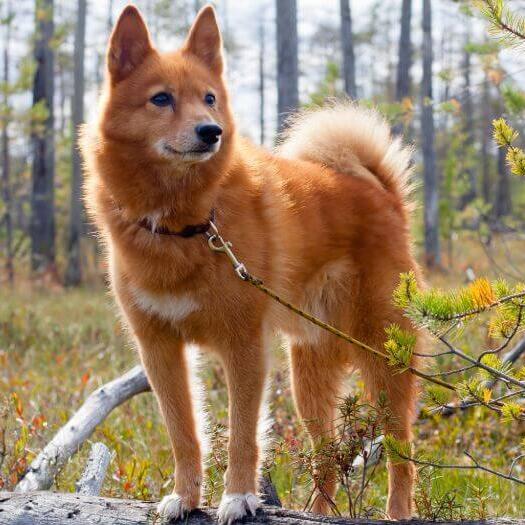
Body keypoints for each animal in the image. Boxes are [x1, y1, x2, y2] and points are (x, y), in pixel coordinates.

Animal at [84, 5, 424, 524]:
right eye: (161, 99)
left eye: (209, 98)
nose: (212, 131)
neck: (188, 223)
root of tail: (382, 195)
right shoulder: (159, 349)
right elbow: (184, 434)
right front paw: (185, 497)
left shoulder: (242, 345)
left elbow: (243, 433)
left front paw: (239, 496)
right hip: (309, 376)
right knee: (326, 457)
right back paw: (318, 512)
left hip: (383, 359)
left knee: (402, 451)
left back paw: (398, 511)